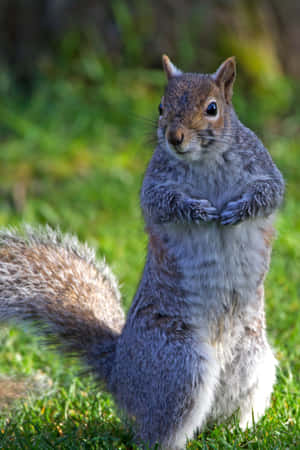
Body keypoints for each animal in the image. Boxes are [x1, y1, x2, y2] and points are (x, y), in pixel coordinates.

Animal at [0, 57, 284, 450]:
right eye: (161, 107)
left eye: (212, 108)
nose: (174, 137)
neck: (205, 160)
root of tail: (121, 375)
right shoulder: (155, 184)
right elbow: (162, 203)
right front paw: (197, 211)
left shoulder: (263, 167)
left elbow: (270, 192)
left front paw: (238, 210)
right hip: (180, 369)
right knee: (156, 433)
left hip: (256, 362)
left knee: (227, 412)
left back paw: (236, 434)